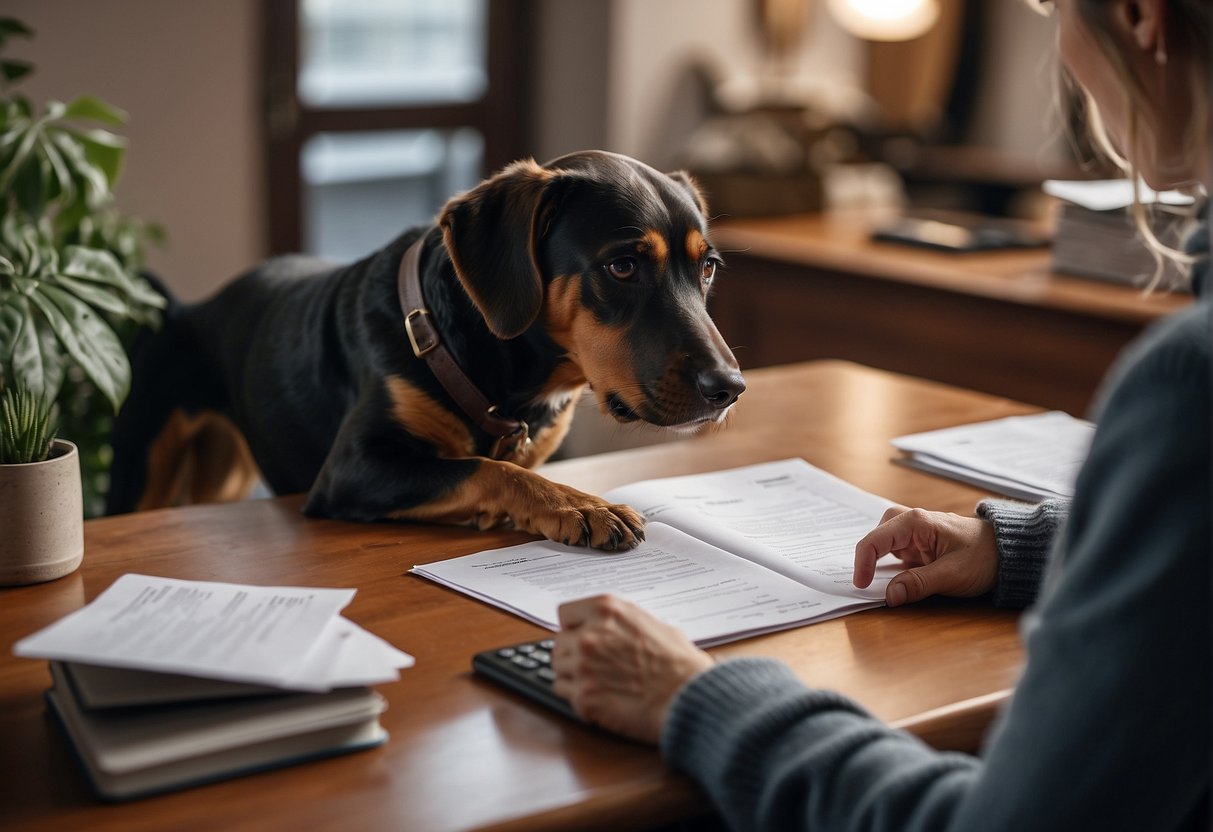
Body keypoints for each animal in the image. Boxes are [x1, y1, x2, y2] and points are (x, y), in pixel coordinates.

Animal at [106, 149, 747, 553]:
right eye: (622, 266)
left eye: (708, 268)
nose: (729, 389)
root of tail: (185, 309)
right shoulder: (353, 469)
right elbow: (487, 467)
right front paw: (578, 504)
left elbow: (499, 464)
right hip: (142, 469)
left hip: (225, 470)